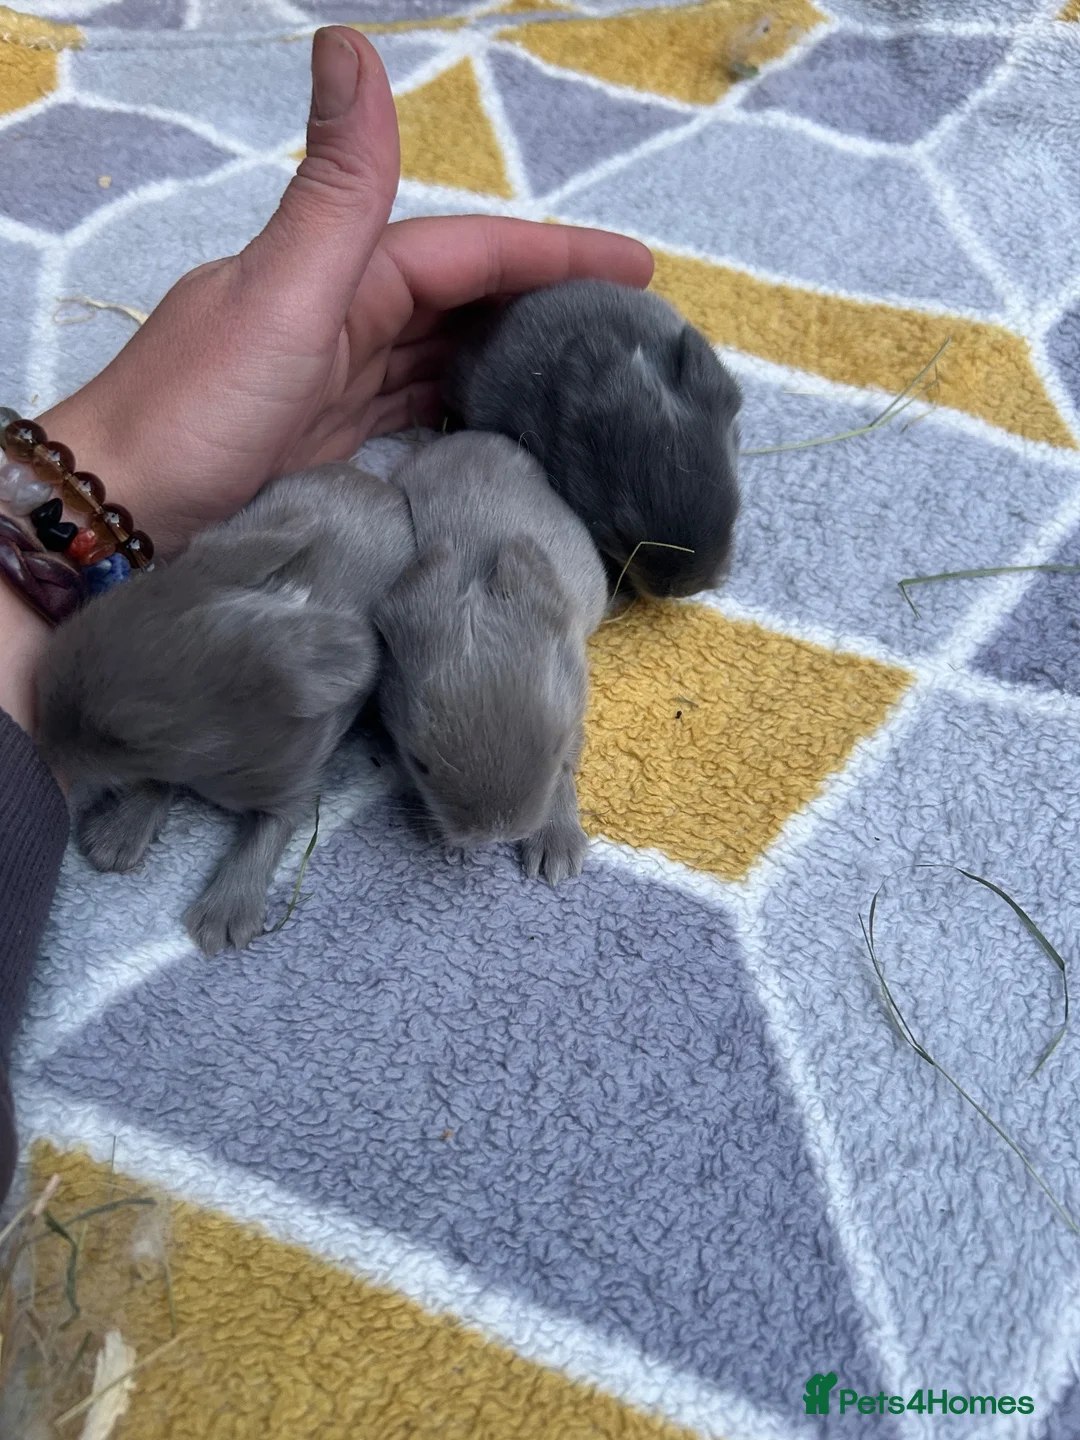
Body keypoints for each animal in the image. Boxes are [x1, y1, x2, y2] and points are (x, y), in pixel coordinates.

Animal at [37, 465, 416, 955]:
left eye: (124, 738)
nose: (42, 744)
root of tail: (375, 482)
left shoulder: (297, 782)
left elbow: (269, 832)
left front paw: (223, 919)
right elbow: (159, 782)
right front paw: (115, 837)